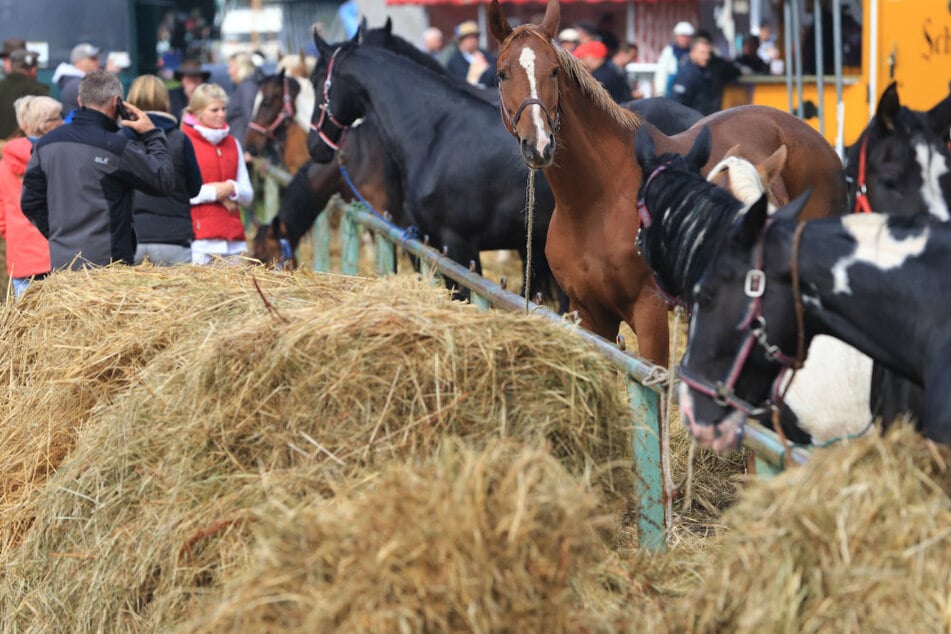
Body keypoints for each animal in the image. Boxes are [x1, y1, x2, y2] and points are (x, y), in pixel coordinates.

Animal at [488, 0, 844, 366]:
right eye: (502, 74)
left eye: (555, 71)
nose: (540, 143)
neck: (597, 201)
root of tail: (820, 142)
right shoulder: (589, 313)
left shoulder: (650, 312)